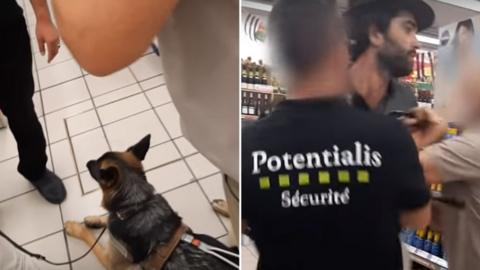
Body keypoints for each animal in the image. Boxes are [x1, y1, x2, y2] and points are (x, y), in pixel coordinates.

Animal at [64, 135, 237, 270]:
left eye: (96, 166)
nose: (87, 162)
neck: (137, 204)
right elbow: (108, 217)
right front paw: (94, 219)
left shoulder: (110, 261)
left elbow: (90, 237)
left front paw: (74, 227)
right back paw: (223, 206)